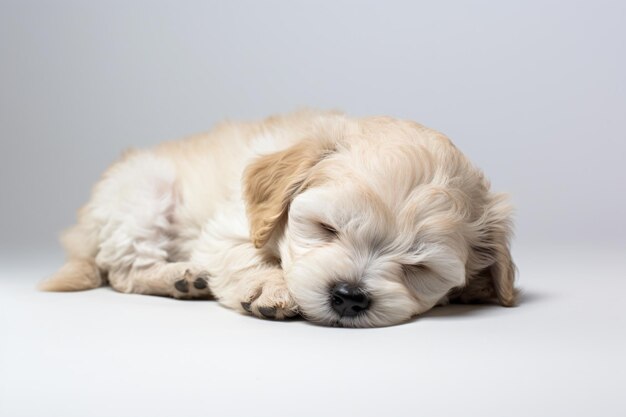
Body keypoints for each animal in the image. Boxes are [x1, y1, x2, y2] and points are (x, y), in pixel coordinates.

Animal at [40, 110, 516, 328]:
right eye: (327, 229)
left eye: (419, 268)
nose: (350, 297)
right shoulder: (230, 225)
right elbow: (245, 256)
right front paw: (270, 287)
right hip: (139, 194)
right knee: (124, 271)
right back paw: (180, 277)